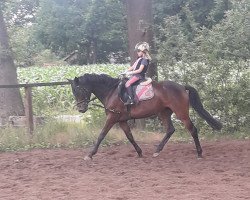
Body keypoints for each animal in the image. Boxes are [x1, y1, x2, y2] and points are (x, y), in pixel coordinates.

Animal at [68, 73, 221, 161]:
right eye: (73, 91)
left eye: (80, 89)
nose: (81, 109)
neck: (111, 91)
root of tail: (182, 87)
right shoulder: (122, 120)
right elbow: (130, 137)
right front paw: (140, 153)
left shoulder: (112, 117)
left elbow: (101, 135)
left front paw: (90, 154)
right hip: (164, 113)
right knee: (170, 130)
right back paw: (157, 151)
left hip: (181, 113)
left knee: (192, 130)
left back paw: (199, 154)